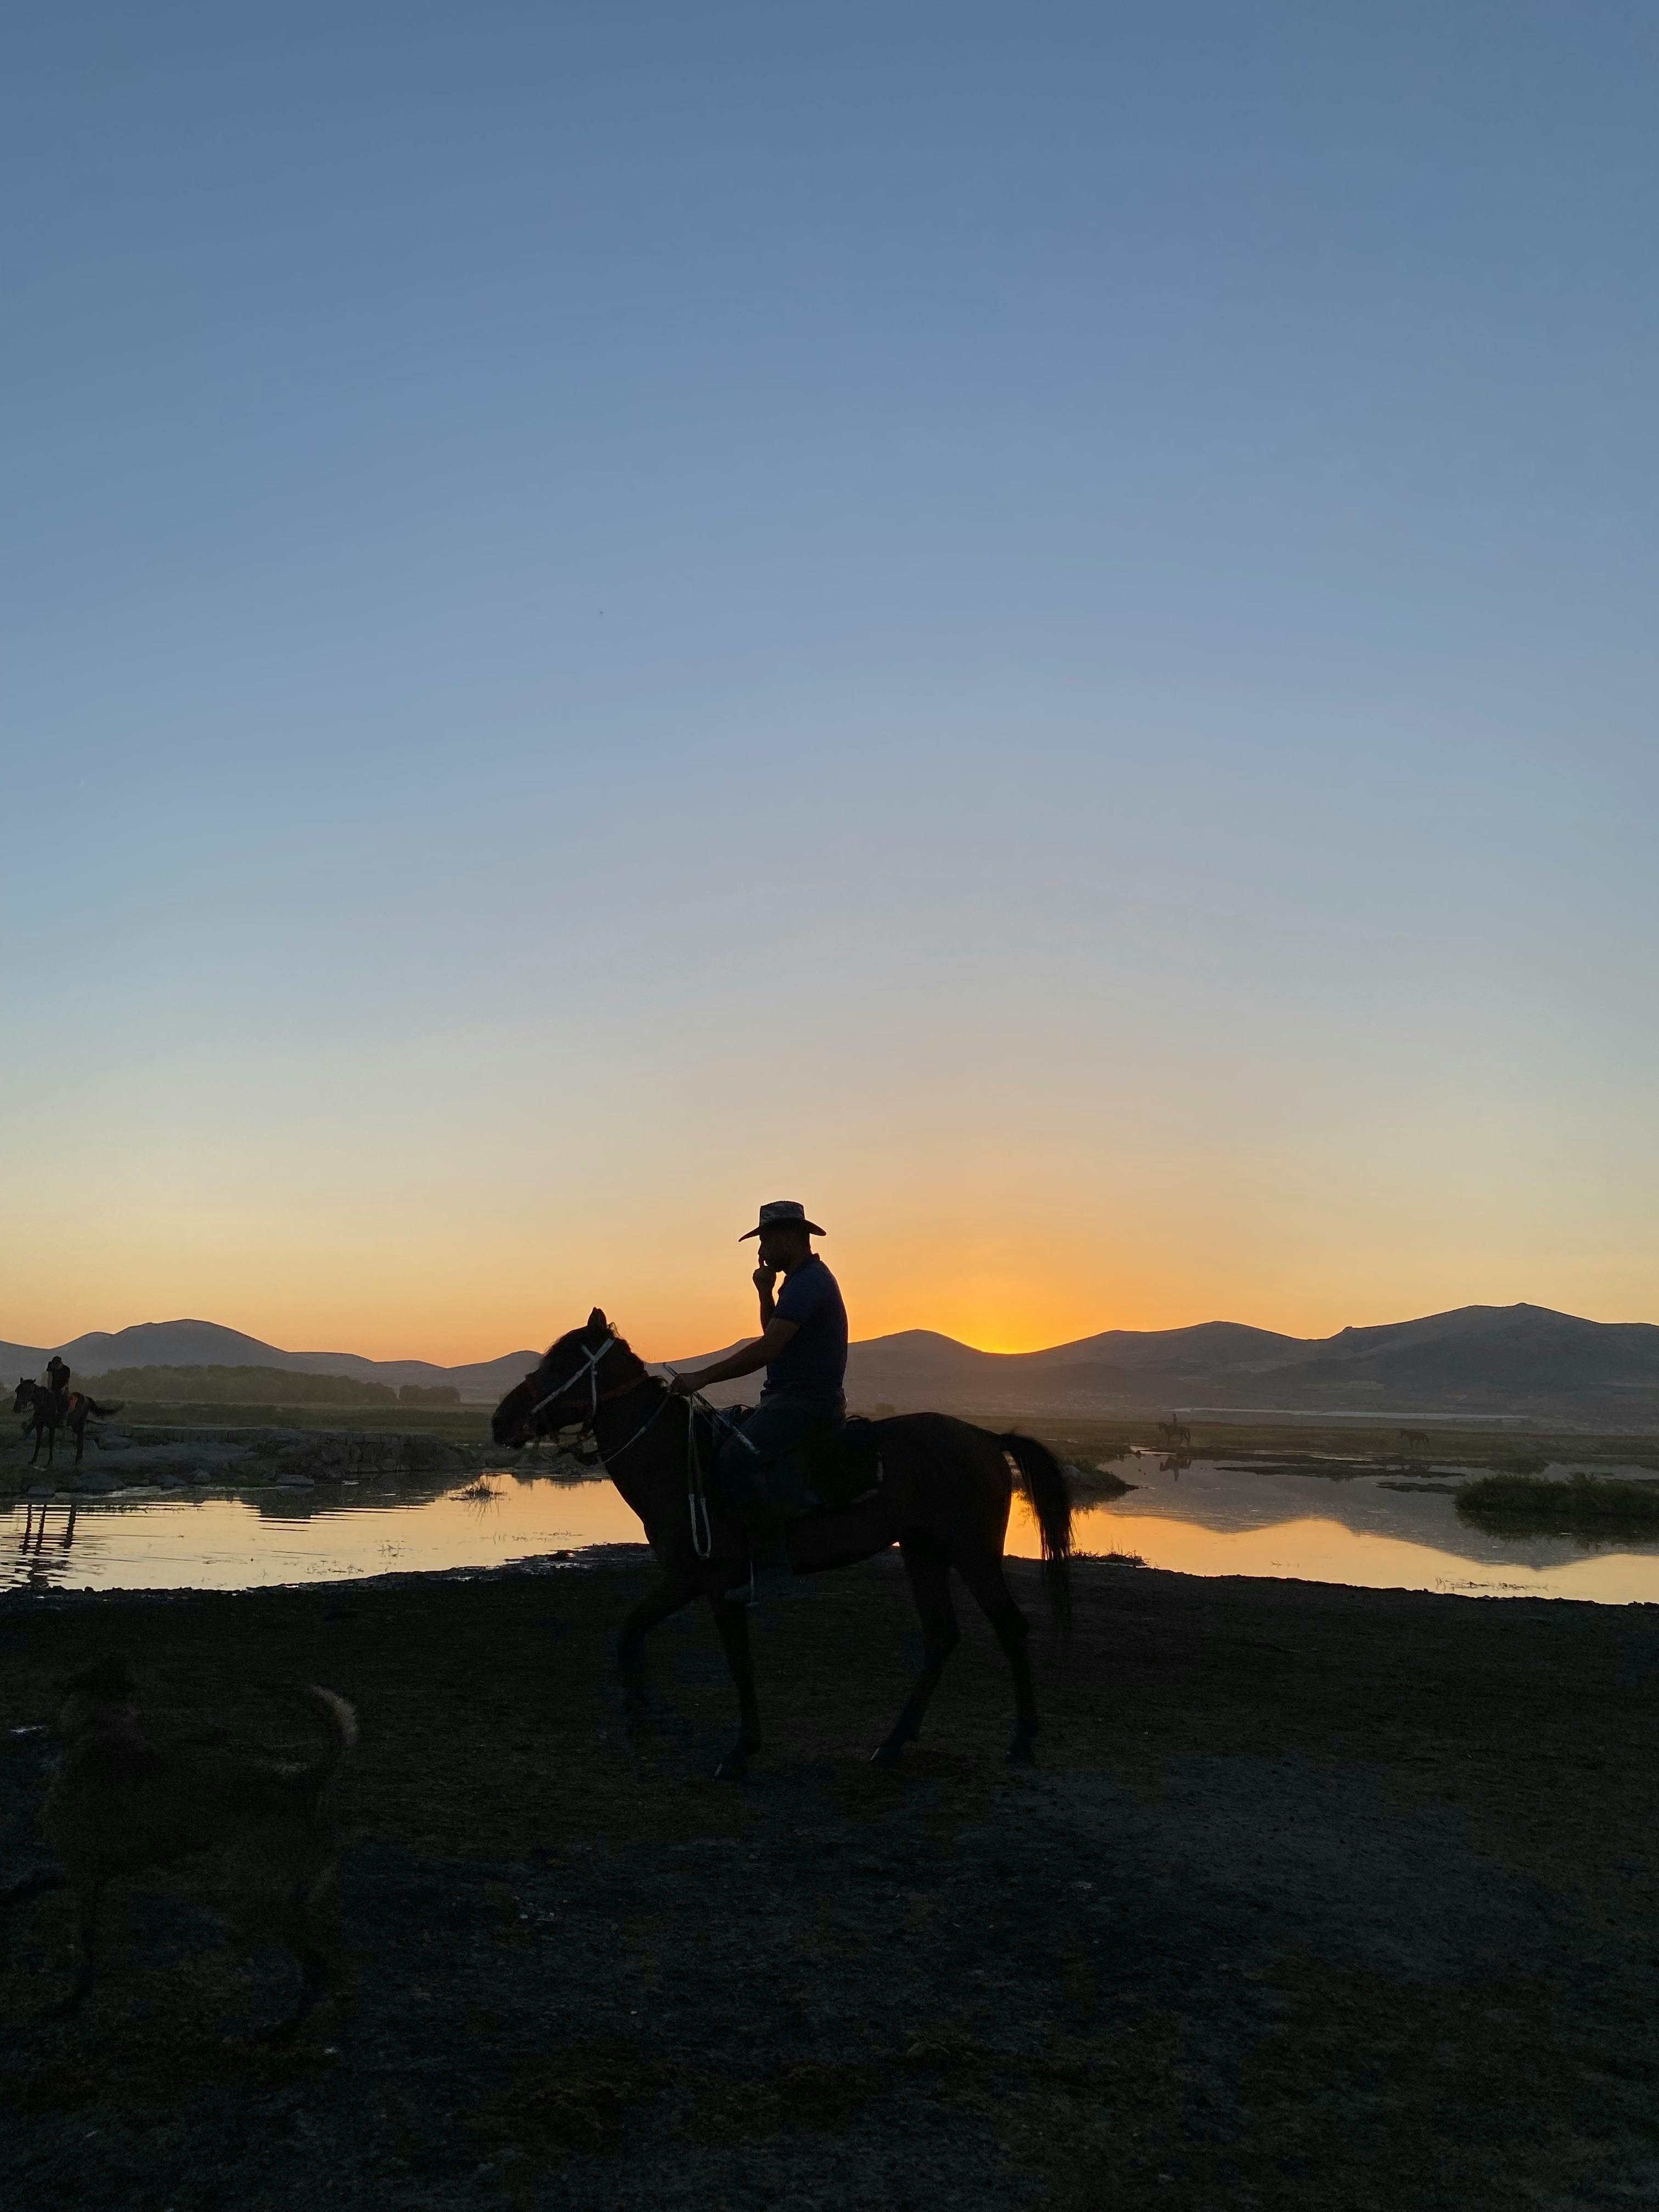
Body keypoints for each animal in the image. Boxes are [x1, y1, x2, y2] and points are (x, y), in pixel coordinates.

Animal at [6, 1663, 358, 2035]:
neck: (100, 1732)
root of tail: (307, 1778)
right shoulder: (90, 1871)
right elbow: (35, 1877)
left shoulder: (83, 1874)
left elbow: (83, 1948)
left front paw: (70, 2001)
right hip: (281, 1897)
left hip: (261, 1897)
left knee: (318, 1966)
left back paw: (283, 2029)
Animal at [491, 1309, 1079, 1778]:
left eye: (560, 1367)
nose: (501, 1420)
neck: (678, 1464)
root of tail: (987, 1438)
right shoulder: (684, 1578)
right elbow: (629, 1631)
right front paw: (640, 1712)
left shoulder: (720, 1583)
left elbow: (739, 1664)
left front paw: (740, 1751)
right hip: (923, 1551)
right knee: (941, 1637)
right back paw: (891, 1745)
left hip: (972, 1551)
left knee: (1009, 1626)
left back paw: (1022, 1741)